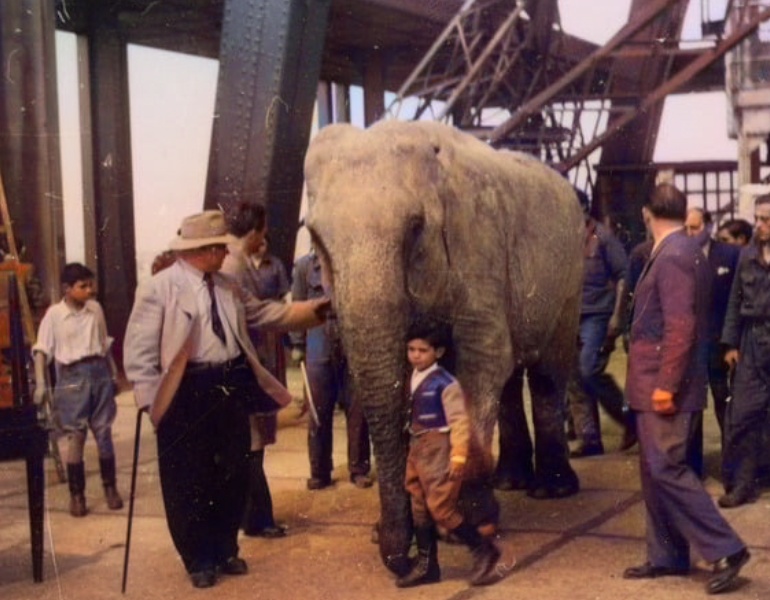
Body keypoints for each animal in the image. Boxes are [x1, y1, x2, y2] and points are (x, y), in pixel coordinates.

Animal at [303, 120, 584, 575]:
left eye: (416, 227)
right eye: (316, 238)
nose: (402, 561)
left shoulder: (478, 244)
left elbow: (483, 359)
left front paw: (462, 525)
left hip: (570, 283)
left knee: (545, 375)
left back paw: (552, 490)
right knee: (509, 383)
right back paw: (510, 481)